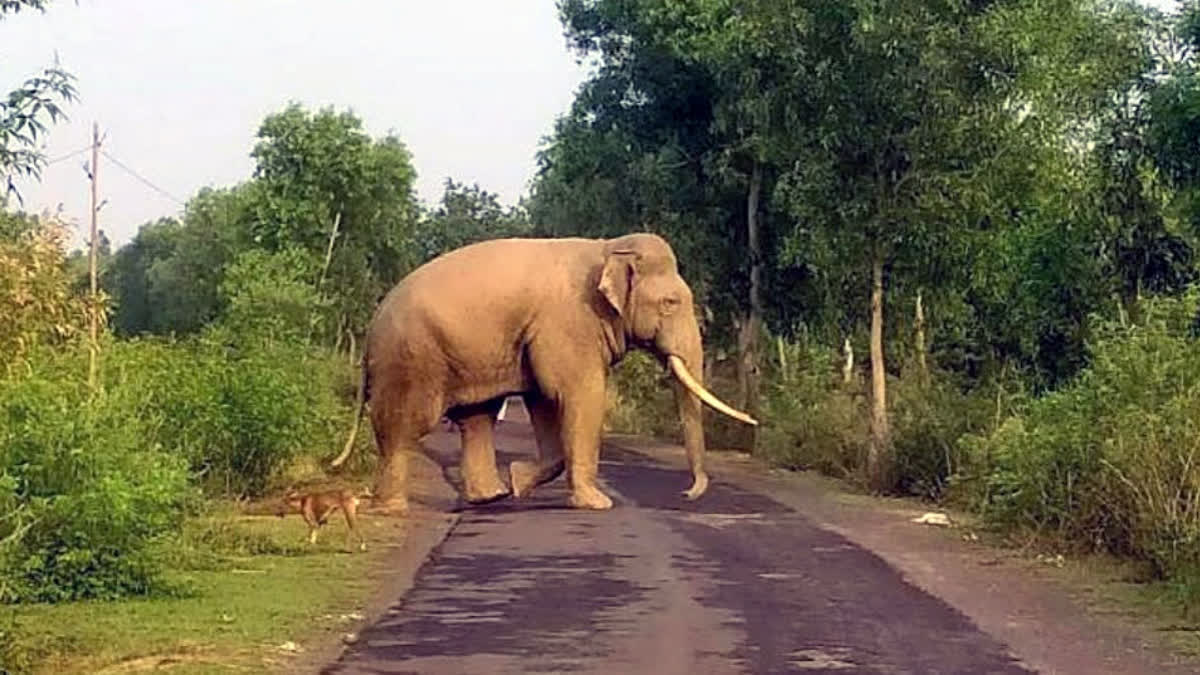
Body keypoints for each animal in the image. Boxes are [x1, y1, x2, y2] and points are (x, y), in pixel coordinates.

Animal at [333, 230, 753, 509]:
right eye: (670, 302)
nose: (686, 493)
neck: (607, 248)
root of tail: (371, 327)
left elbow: (545, 400)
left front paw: (519, 481)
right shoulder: (569, 321)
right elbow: (579, 393)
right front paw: (597, 504)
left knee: (476, 418)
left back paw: (492, 497)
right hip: (410, 359)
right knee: (404, 425)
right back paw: (392, 507)